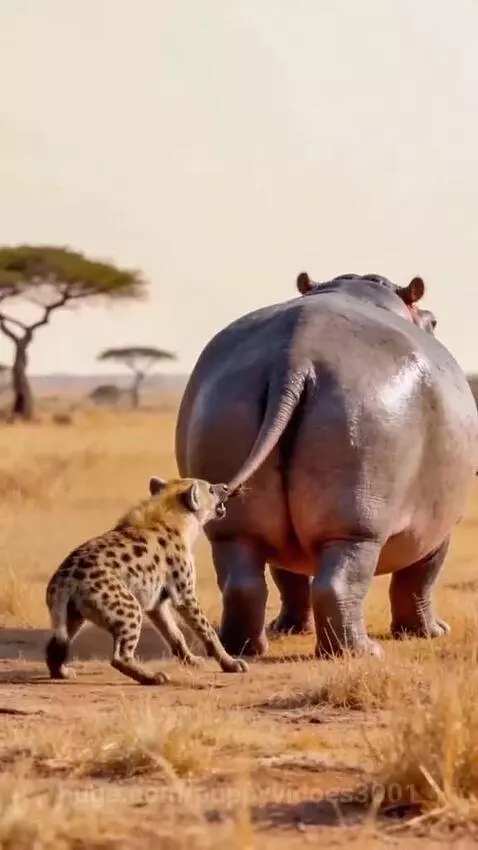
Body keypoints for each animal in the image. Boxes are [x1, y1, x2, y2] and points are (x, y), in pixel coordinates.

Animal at [175, 272, 477, 658]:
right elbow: (419, 579)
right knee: (340, 582)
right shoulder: (436, 528)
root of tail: (294, 357)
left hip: (231, 495)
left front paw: (289, 629)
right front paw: (431, 632)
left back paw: (242, 648)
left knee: (242, 582)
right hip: (358, 518)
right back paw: (361, 651)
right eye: (435, 321)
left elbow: (289, 578)